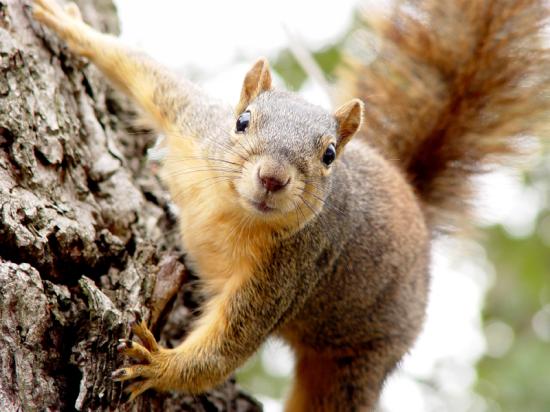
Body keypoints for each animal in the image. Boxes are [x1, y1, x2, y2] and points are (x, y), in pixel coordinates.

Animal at [31, 0, 550, 410]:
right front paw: (72, 26)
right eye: (241, 121)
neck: (232, 209)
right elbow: (144, 72)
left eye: (329, 155)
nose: (272, 178)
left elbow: (226, 348)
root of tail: (417, 211)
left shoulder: (289, 272)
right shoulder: (192, 124)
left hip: (359, 359)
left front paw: (157, 365)